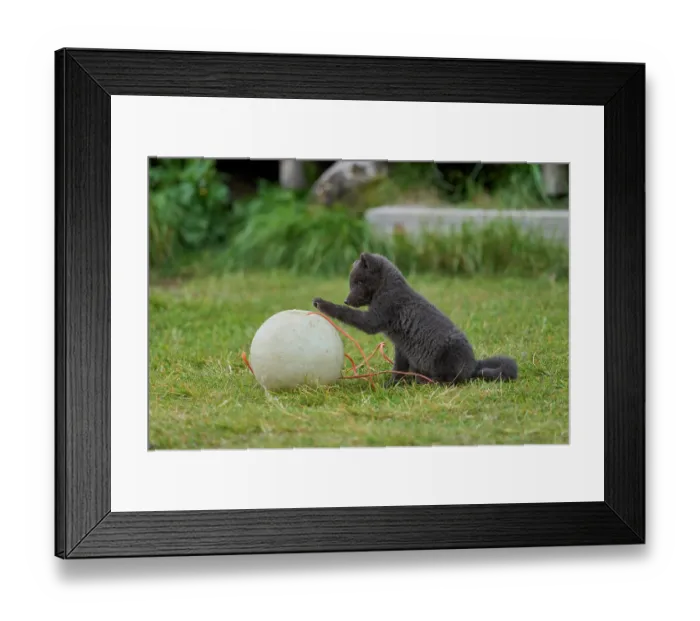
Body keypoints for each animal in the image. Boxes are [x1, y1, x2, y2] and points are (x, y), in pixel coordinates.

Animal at [312, 252, 518, 386]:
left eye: (359, 282)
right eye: (351, 283)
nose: (347, 300)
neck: (387, 288)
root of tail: (474, 364)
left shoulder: (380, 313)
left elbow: (351, 315)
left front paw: (323, 304)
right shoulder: (401, 346)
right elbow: (398, 366)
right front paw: (393, 384)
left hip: (447, 356)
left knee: (454, 379)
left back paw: (427, 381)